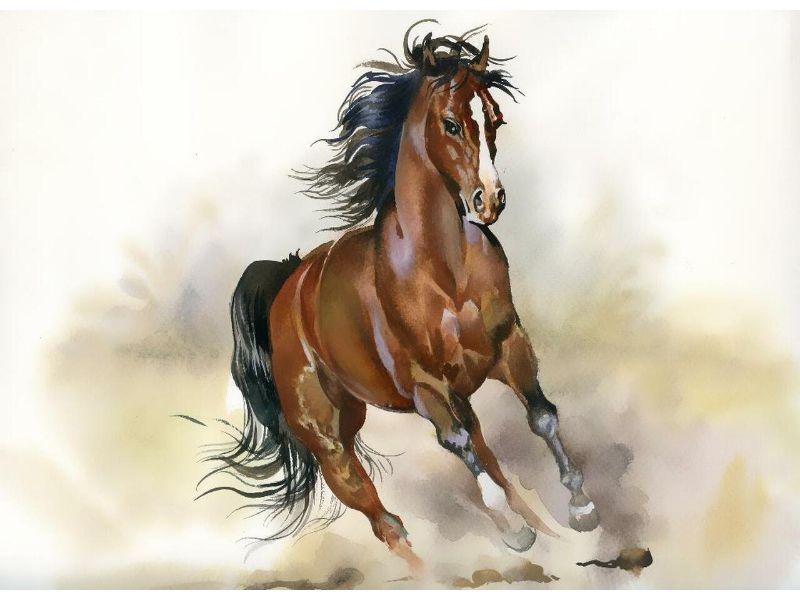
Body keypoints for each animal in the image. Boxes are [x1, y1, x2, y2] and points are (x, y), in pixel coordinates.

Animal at [202, 22, 599, 570]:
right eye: (451, 124)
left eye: (495, 119)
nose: (490, 200)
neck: (444, 273)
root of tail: (288, 284)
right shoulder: (424, 386)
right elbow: (459, 446)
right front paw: (515, 532)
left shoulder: (507, 347)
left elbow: (541, 417)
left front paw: (581, 506)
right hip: (329, 435)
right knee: (377, 511)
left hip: (408, 404)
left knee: (484, 457)